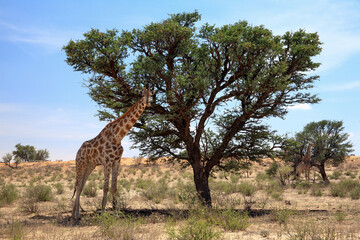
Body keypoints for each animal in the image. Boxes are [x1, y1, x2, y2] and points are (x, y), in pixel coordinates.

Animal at [71, 87, 155, 220]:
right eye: (142, 95)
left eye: (151, 95)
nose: (147, 103)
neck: (118, 136)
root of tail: (78, 151)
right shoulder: (107, 161)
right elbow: (105, 188)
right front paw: (102, 213)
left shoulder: (117, 161)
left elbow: (114, 188)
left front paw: (116, 213)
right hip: (80, 164)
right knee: (78, 187)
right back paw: (77, 215)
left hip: (90, 166)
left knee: (81, 186)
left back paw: (74, 214)